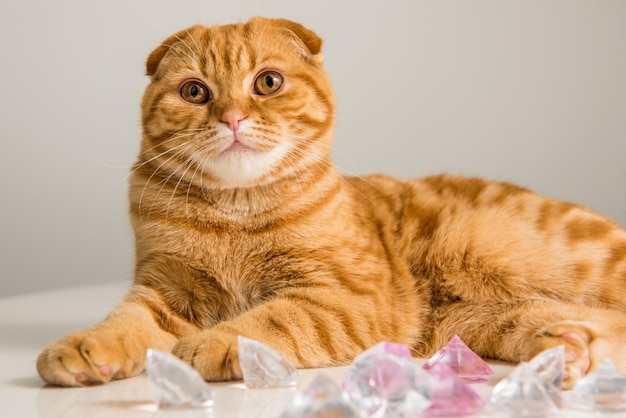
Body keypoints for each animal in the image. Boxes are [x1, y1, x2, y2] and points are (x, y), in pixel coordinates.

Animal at [36, 16, 620, 388]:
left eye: (268, 82)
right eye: (195, 92)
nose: (231, 117)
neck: (234, 211)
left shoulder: (342, 297)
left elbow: (271, 320)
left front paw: (220, 343)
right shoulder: (165, 291)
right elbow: (124, 324)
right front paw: (86, 348)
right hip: (480, 324)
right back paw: (568, 350)